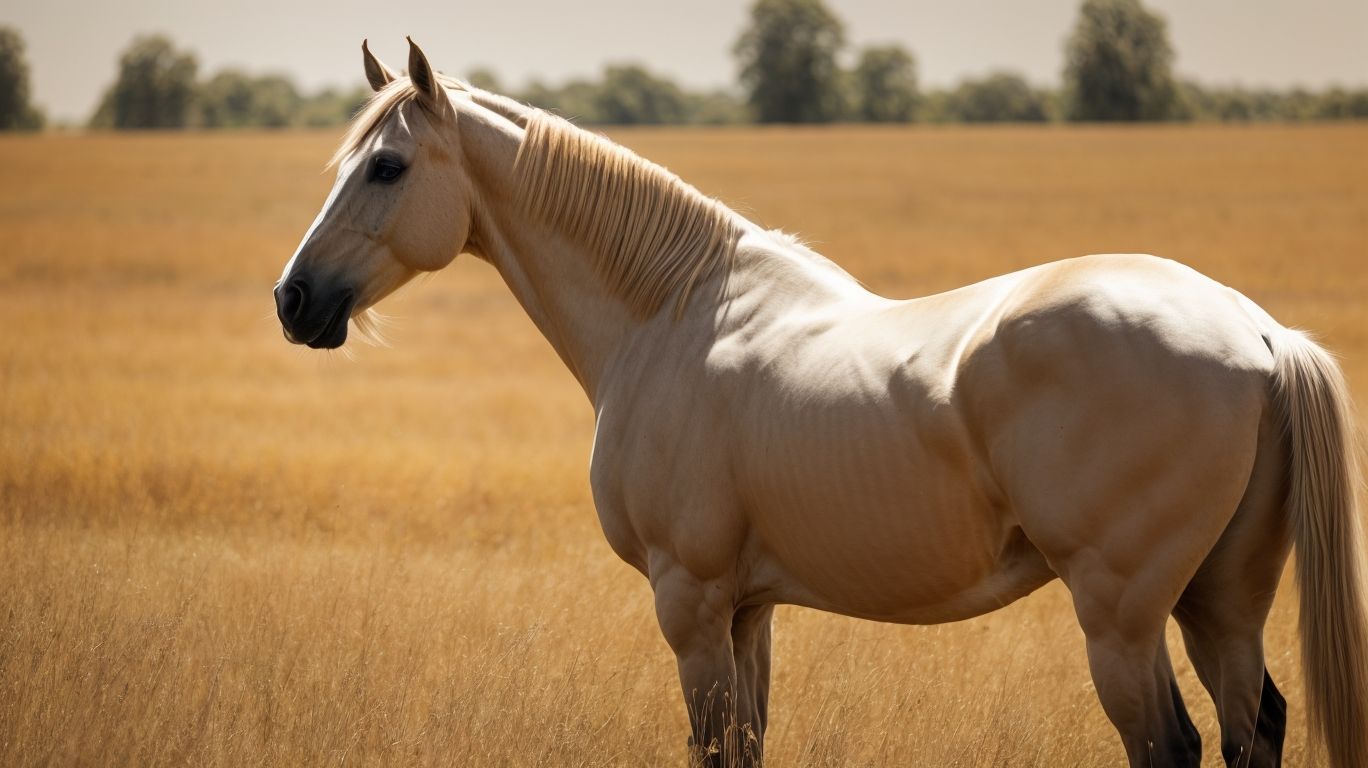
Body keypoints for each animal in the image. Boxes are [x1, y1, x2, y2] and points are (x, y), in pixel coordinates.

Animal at [273, 38, 1368, 768]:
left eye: (388, 166)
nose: (295, 301)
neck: (671, 314)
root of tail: (1255, 333)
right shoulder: (749, 607)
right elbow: (750, 745)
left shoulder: (690, 600)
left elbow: (715, 748)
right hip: (1220, 602)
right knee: (1253, 727)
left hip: (1125, 617)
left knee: (1172, 746)